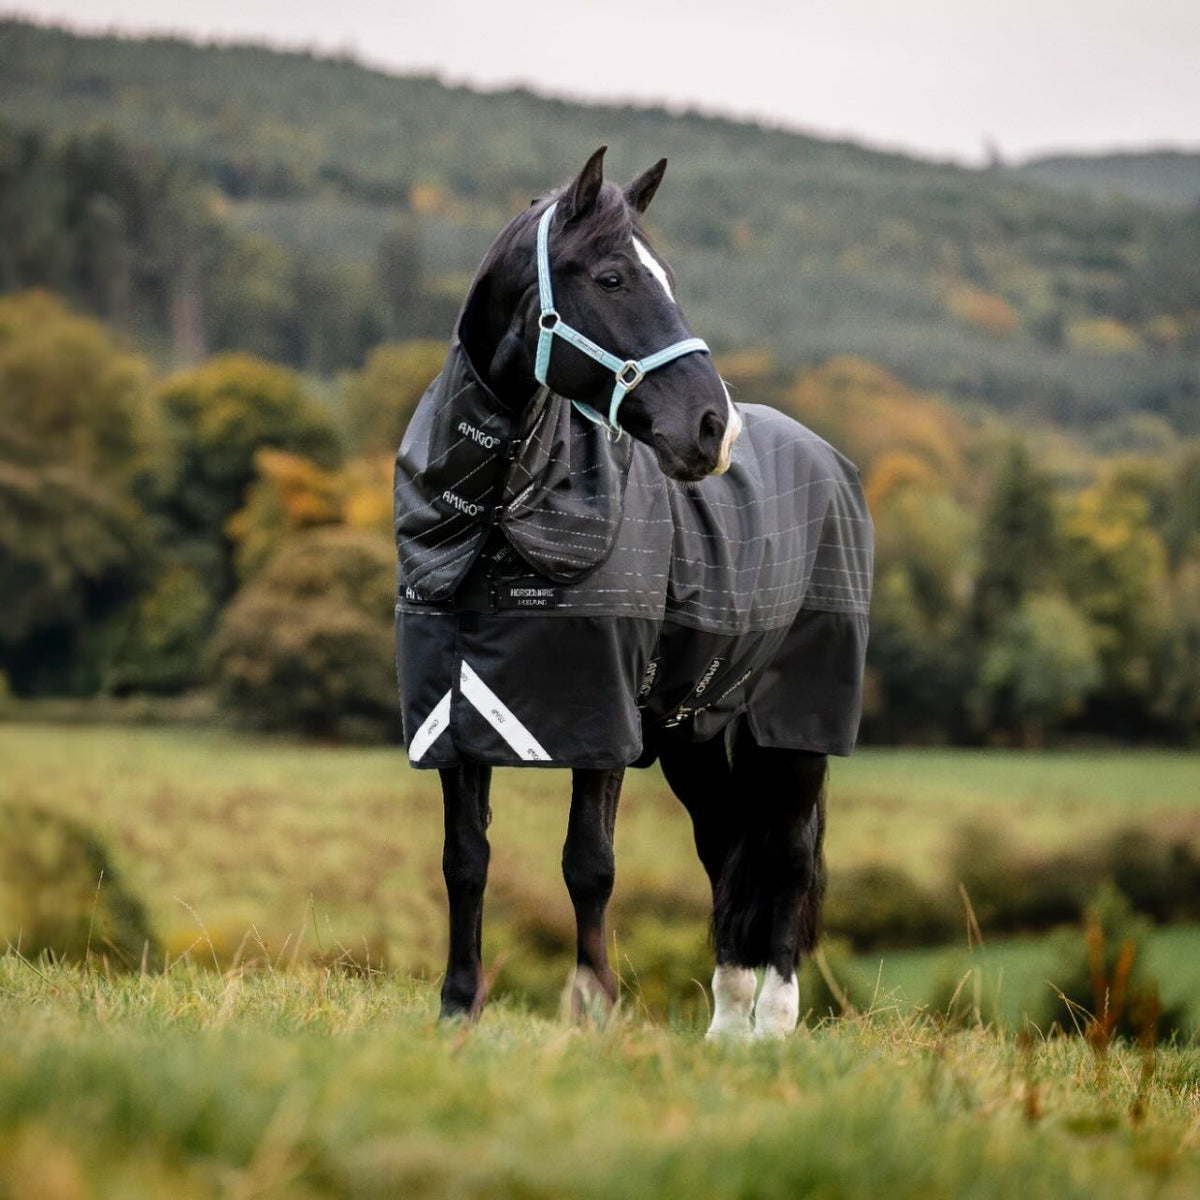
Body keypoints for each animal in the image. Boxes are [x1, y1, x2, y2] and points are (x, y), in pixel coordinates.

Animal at [393, 148, 872, 1037]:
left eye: (667, 278)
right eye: (613, 278)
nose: (713, 429)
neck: (501, 516)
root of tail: (829, 460)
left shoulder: (602, 717)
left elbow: (590, 864)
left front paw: (594, 1012)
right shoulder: (454, 711)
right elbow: (465, 859)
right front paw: (456, 1010)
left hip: (795, 726)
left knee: (786, 853)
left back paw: (774, 1023)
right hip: (693, 732)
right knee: (728, 847)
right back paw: (727, 1027)